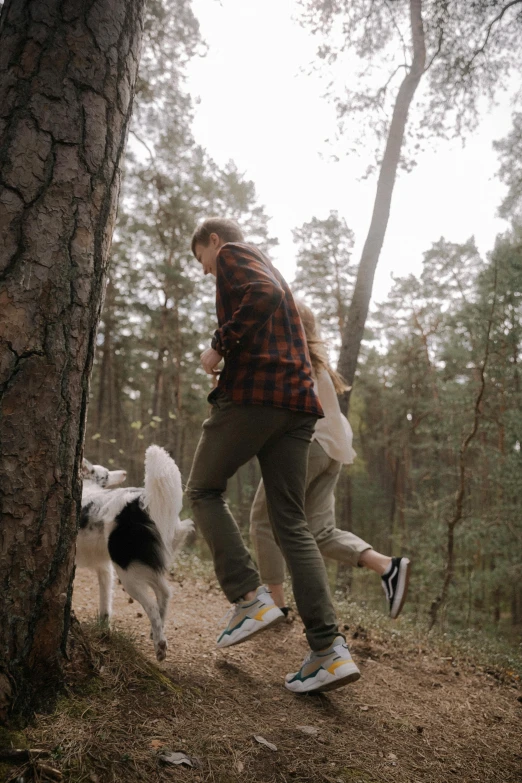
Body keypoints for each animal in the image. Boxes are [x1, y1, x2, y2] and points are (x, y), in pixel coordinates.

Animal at [76, 448, 192, 660]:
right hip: (141, 565)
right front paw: (104, 629)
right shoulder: (105, 569)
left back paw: (160, 645)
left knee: (152, 605)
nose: (123, 472)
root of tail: (141, 501)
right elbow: (105, 603)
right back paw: (156, 631)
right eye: (106, 474)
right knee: (165, 593)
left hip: (127, 570)